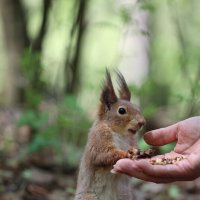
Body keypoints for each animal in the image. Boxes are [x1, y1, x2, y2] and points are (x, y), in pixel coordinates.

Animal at [74, 70, 145, 200]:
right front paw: (127, 153)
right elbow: (102, 155)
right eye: (121, 111)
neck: (121, 133)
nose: (142, 122)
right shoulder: (99, 138)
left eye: (137, 107)